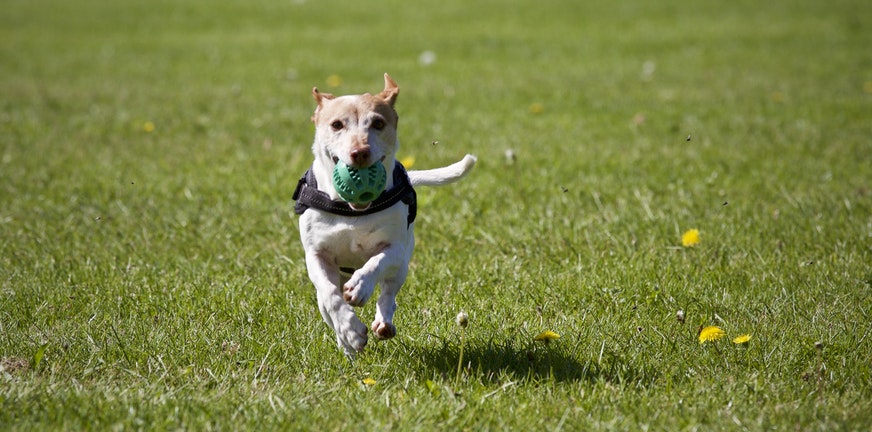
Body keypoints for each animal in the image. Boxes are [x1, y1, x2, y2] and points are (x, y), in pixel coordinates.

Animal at [294, 75, 476, 358]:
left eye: (378, 123)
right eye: (336, 125)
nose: (360, 152)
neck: (353, 211)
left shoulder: (396, 248)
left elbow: (376, 262)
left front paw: (360, 286)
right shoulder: (316, 255)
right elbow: (331, 296)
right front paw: (351, 331)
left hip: (402, 266)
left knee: (389, 292)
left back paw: (383, 322)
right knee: (328, 306)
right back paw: (347, 347)